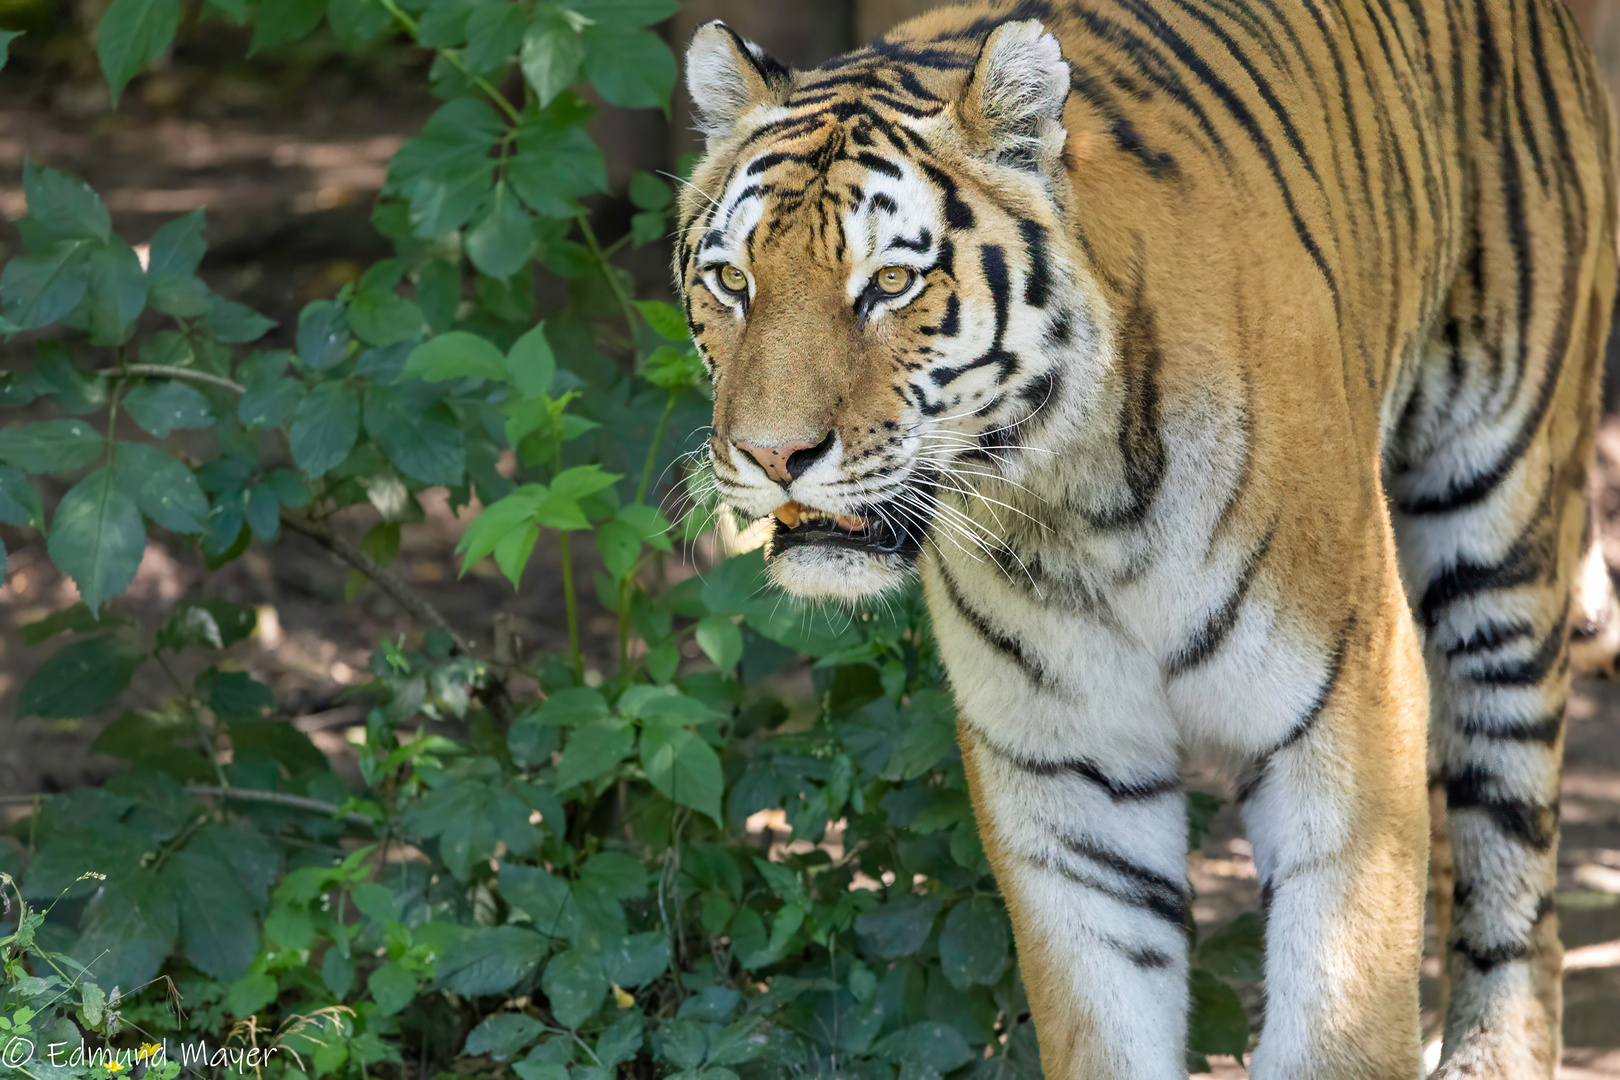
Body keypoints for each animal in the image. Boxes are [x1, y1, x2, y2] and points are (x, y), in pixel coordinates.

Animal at [673, 2, 1620, 1075]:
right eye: (731, 280)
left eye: (890, 283)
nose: (771, 453)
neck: (1076, 509)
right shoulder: (1067, 768)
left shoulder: (1352, 708)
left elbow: (1341, 1018)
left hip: (1502, 522)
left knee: (1514, 854)